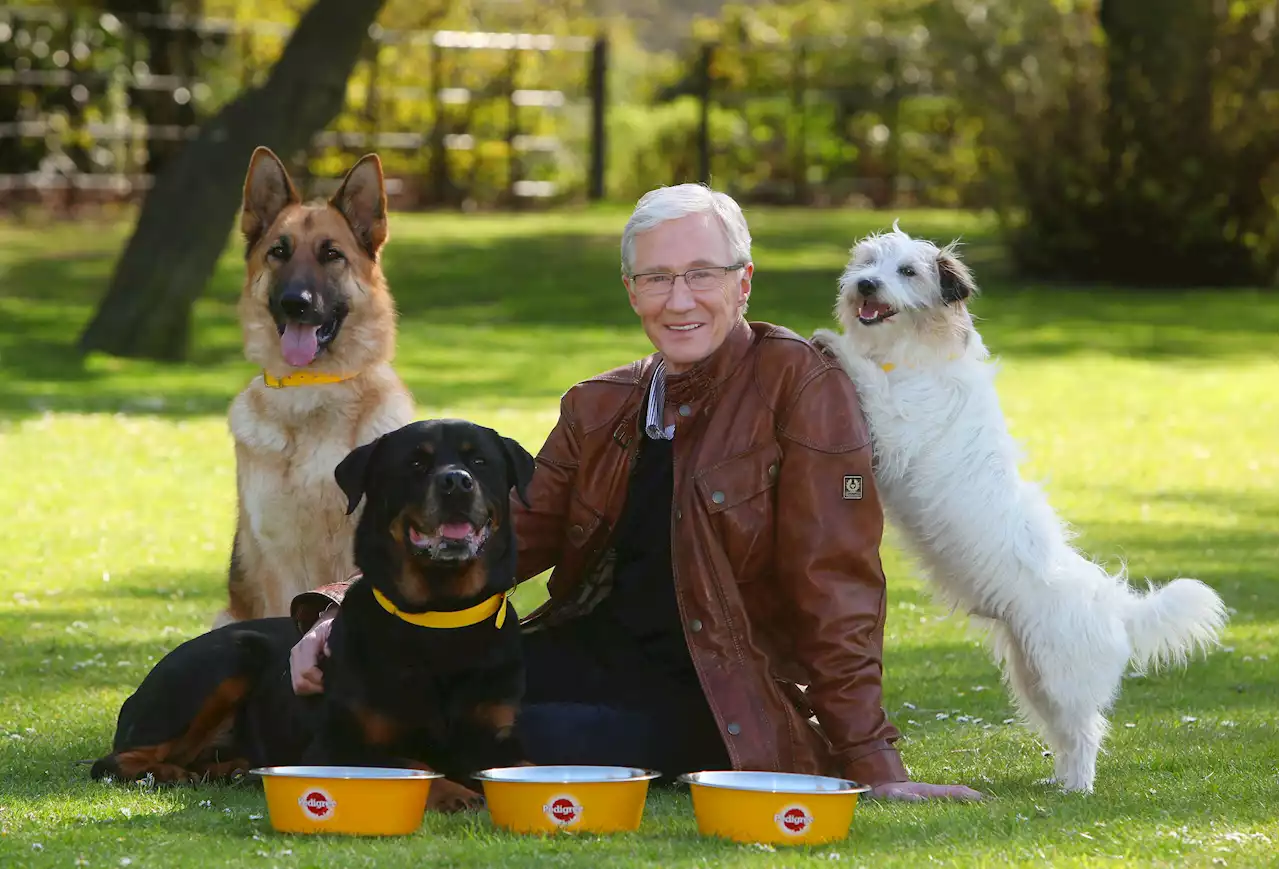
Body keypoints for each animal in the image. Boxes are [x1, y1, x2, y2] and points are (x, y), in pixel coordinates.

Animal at [92, 417, 535, 813]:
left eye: (479, 461)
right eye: (415, 463)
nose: (457, 481)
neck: (441, 616)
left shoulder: (497, 739)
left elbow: (527, 765)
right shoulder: (334, 746)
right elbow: (412, 763)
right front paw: (455, 792)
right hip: (226, 658)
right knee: (112, 762)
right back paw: (171, 773)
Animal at [808, 223, 1228, 793]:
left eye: (908, 271)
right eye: (868, 262)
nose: (866, 285)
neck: (913, 353)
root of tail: (1114, 604)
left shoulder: (894, 432)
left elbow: (868, 378)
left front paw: (835, 344)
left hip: (1061, 679)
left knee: (1087, 732)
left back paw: (1079, 787)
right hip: (1032, 677)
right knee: (1065, 734)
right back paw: (1060, 782)